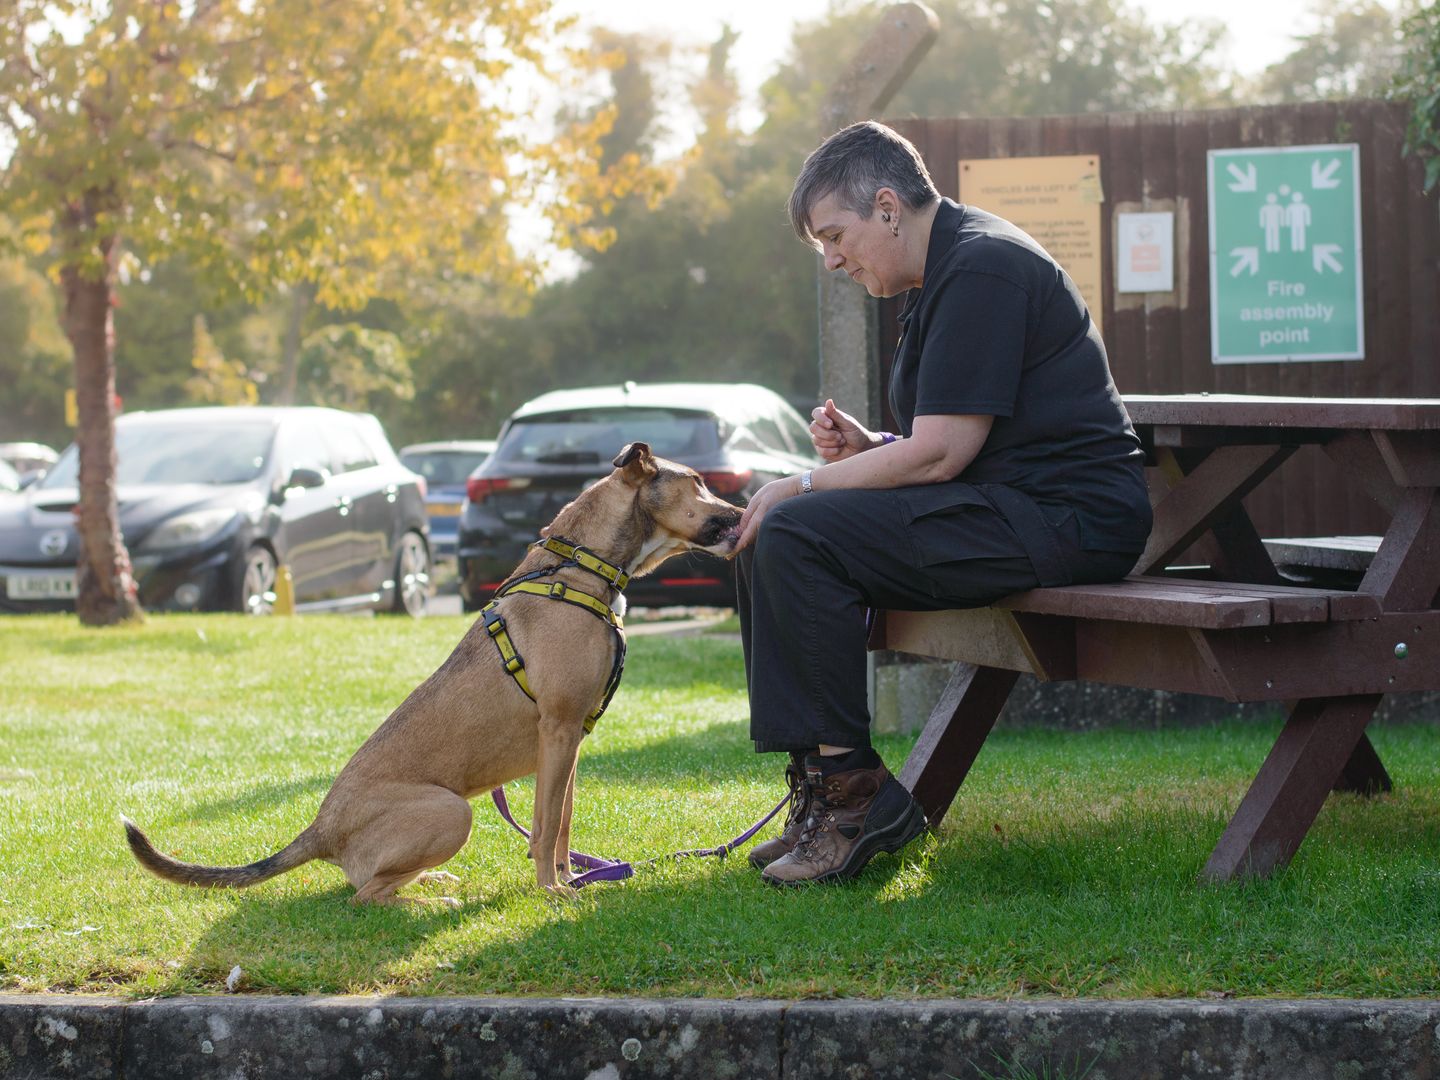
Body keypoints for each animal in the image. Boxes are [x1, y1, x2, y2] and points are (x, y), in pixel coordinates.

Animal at [123, 440, 743, 904]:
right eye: (697, 481)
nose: (745, 511)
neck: (578, 568)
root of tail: (322, 829)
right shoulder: (559, 729)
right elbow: (545, 830)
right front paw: (551, 890)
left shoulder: (570, 743)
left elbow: (561, 822)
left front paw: (572, 880)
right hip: (452, 811)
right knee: (365, 896)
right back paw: (433, 898)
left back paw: (433, 881)